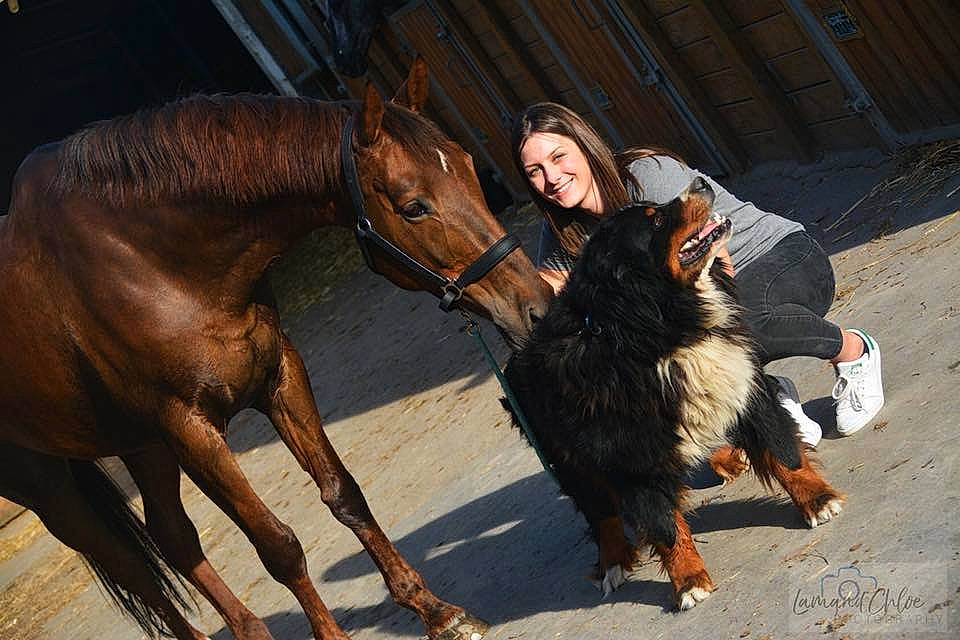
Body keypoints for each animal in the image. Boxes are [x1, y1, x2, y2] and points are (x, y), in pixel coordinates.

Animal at [0, 57, 552, 640]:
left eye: (469, 167)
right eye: (414, 207)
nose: (536, 306)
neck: (150, 259)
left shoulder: (278, 376)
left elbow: (343, 494)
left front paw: (435, 610)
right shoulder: (191, 430)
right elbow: (278, 546)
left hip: (142, 446)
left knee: (173, 538)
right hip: (48, 488)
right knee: (131, 566)